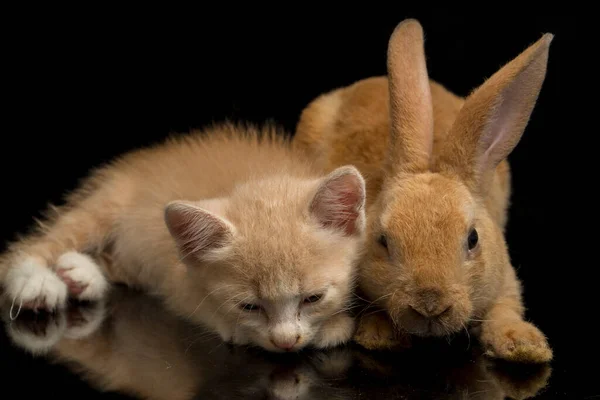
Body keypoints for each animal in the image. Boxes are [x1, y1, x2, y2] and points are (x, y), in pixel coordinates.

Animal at [0, 122, 366, 354]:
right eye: (248, 306)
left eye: (313, 298)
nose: (287, 342)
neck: (259, 177)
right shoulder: (176, 280)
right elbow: (193, 304)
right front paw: (239, 329)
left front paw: (333, 325)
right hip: (108, 204)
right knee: (36, 246)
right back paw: (36, 282)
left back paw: (78, 275)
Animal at [292, 18, 552, 366]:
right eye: (382, 241)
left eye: (473, 239)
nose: (430, 304)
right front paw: (380, 336)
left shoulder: (505, 281)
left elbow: (505, 309)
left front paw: (523, 345)